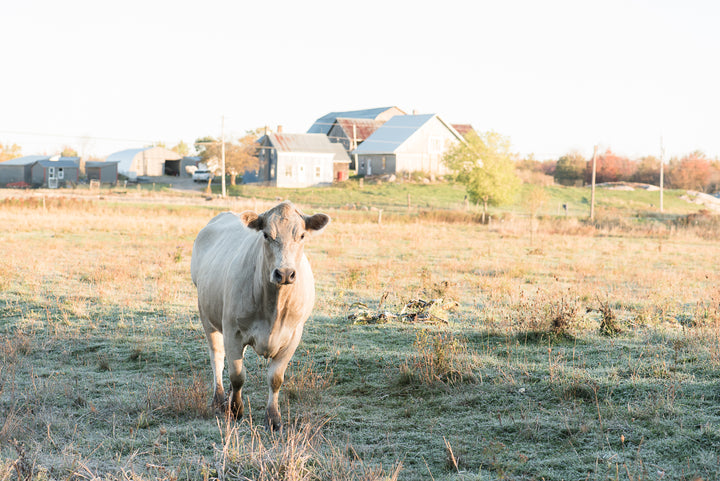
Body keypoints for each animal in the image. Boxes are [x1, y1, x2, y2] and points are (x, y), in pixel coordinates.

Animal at [188, 199, 330, 428]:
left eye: (301, 235)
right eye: (266, 235)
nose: (284, 273)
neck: (274, 306)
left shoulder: (293, 336)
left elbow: (275, 378)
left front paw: (273, 417)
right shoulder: (232, 331)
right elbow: (237, 375)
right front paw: (235, 409)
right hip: (206, 315)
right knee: (217, 357)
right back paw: (219, 399)